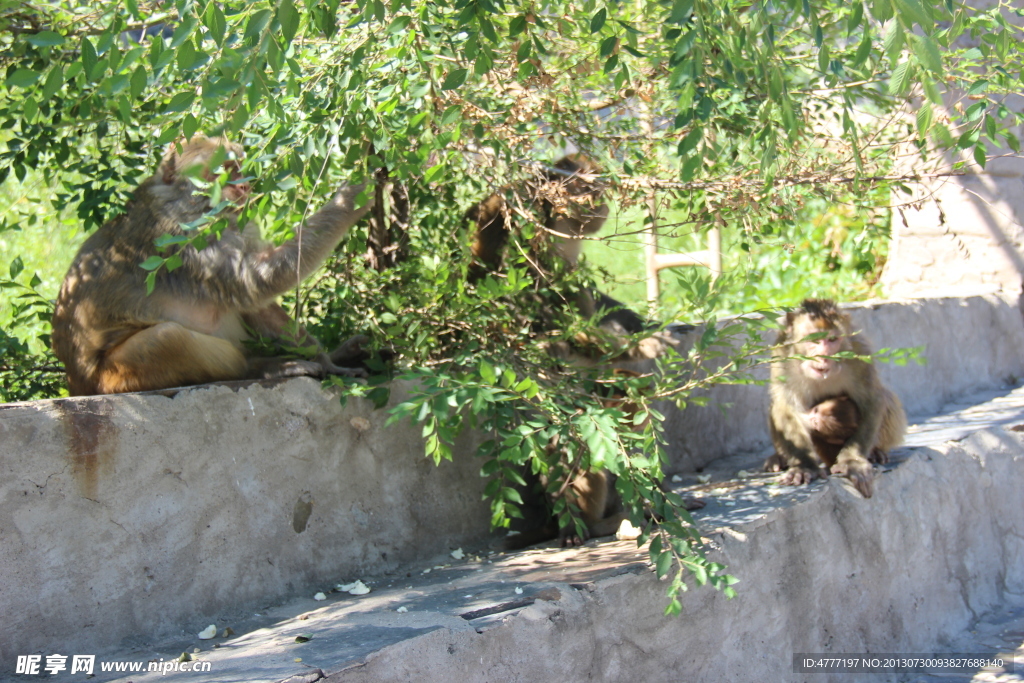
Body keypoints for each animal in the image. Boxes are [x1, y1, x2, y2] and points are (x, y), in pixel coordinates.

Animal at [51, 135, 372, 395]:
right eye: (222, 169)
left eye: (238, 166)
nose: (244, 184)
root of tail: (76, 384)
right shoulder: (184, 234)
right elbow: (254, 280)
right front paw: (352, 197)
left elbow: (253, 300)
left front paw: (329, 362)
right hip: (113, 377)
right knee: (169, 338)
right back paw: (262, 367)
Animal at [765, 299, 909, 497]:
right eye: (814, 339)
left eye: (832, 340)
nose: (824, 356)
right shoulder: (782, 358)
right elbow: (786, 407)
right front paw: (804, 466)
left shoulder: (859, 354)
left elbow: (872, 400)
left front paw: (852, 462)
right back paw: (779, 458)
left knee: (885, 396)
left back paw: (875, 452)